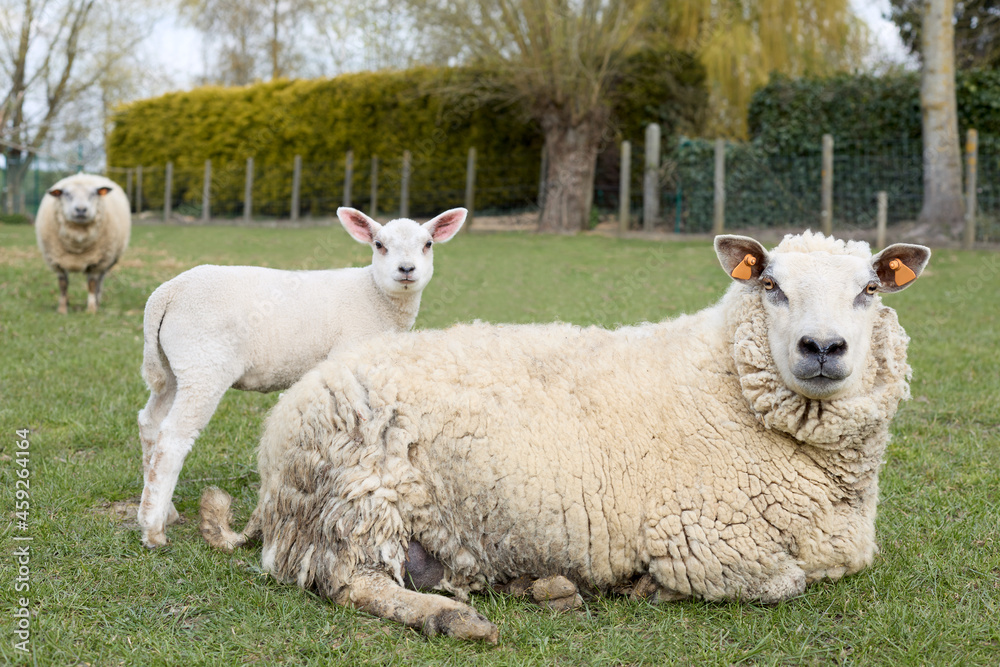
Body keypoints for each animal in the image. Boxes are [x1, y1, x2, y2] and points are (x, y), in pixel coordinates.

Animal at [35, 173, 131, 314]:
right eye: (67, 194)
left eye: (93, 194)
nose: (81, 209)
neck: (78, 242)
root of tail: (84, 175)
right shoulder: (57, 262)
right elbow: (63, 284)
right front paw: (62, 309)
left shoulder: (97, 263)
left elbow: (92, 284)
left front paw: (91, 309)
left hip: (107, 262)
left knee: (99, 282)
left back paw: (97, 301)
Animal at [138, 207, 466, 549]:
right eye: (379, 245)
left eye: (428, 244)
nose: (406, 269)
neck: (375, 296)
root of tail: (167, 293)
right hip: (204, 365)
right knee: (173, 436)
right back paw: (152, 529)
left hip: (173, 369)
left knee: (151, 423)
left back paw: (164, 510)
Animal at [201, 231, 930, 643]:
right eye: (772, 284)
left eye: (870, 289)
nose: (823, 347)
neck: (723, 378)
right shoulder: (708, 541)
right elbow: (785, 583)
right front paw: (649, 588)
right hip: (356, 502)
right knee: (350, 583)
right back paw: (451, 619)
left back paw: (542, 587)